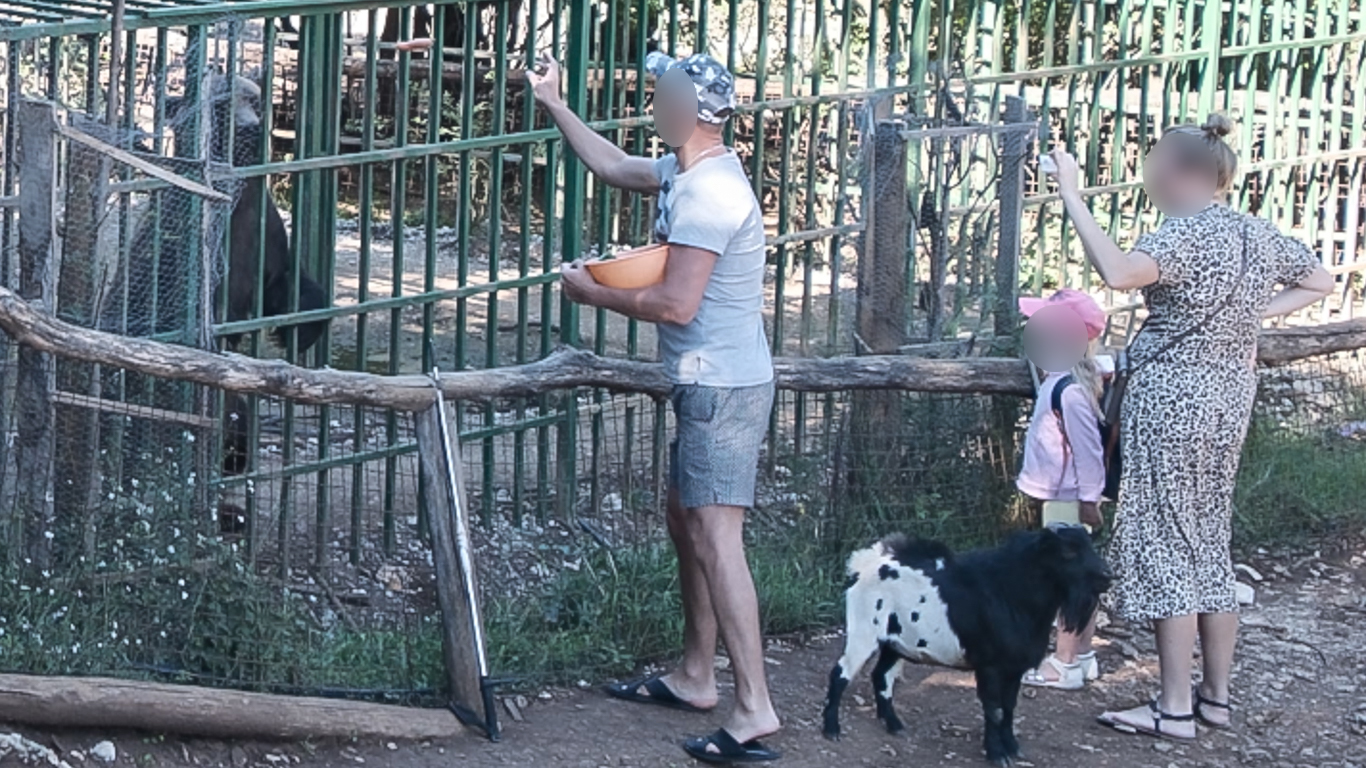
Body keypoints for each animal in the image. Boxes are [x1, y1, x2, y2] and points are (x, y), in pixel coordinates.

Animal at [819, 530, 1109, 759]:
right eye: (1068, 552)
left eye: (1090, 545)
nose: (1108, 575)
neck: (1010, 592)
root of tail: (864, 565)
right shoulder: (990, 666)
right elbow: (994, 709)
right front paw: (996, 754)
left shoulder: (1014, 668)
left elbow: (1009, 707)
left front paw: (1012, 748)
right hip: (863, 632)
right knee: (840, 673)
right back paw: (831, 729)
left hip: (893, 643)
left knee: (881, 675)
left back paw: (894, 724)